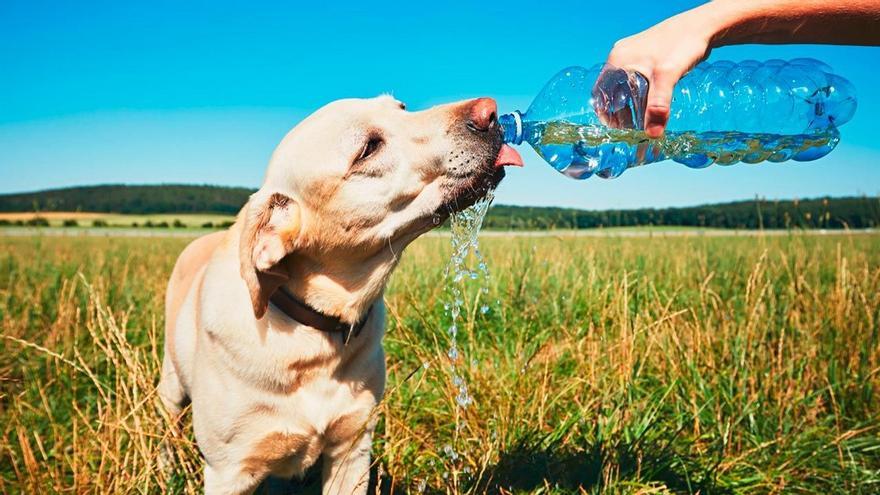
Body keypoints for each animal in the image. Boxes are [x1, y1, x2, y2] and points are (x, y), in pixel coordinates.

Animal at [158, 95, 524, 494]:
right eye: (368, 148)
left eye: (401, 107)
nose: (490, 111)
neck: (313, 337)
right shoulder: (229, 472)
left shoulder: (353, 448)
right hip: (171, 385)